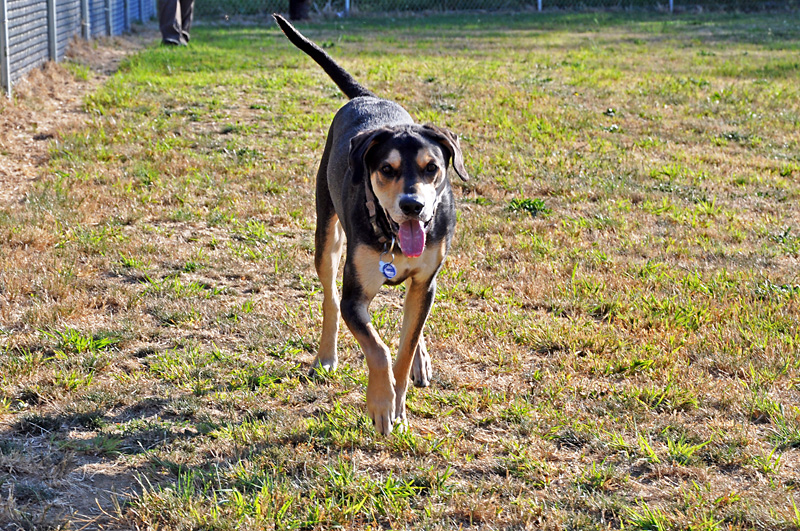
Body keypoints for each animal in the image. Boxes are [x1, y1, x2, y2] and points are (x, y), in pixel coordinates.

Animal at [276, 14, 468, 434]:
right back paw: (326, 356)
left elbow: (404, 345)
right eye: (386, 169)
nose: (412, 205)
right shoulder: (355, 298)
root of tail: (365, 97)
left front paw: (399, 398)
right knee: (329, 297)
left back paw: (420, 361)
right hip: (327, 236)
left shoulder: (426, 280)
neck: (392, 239)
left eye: (432, 168)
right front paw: (382, 404)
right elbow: (377, 348)